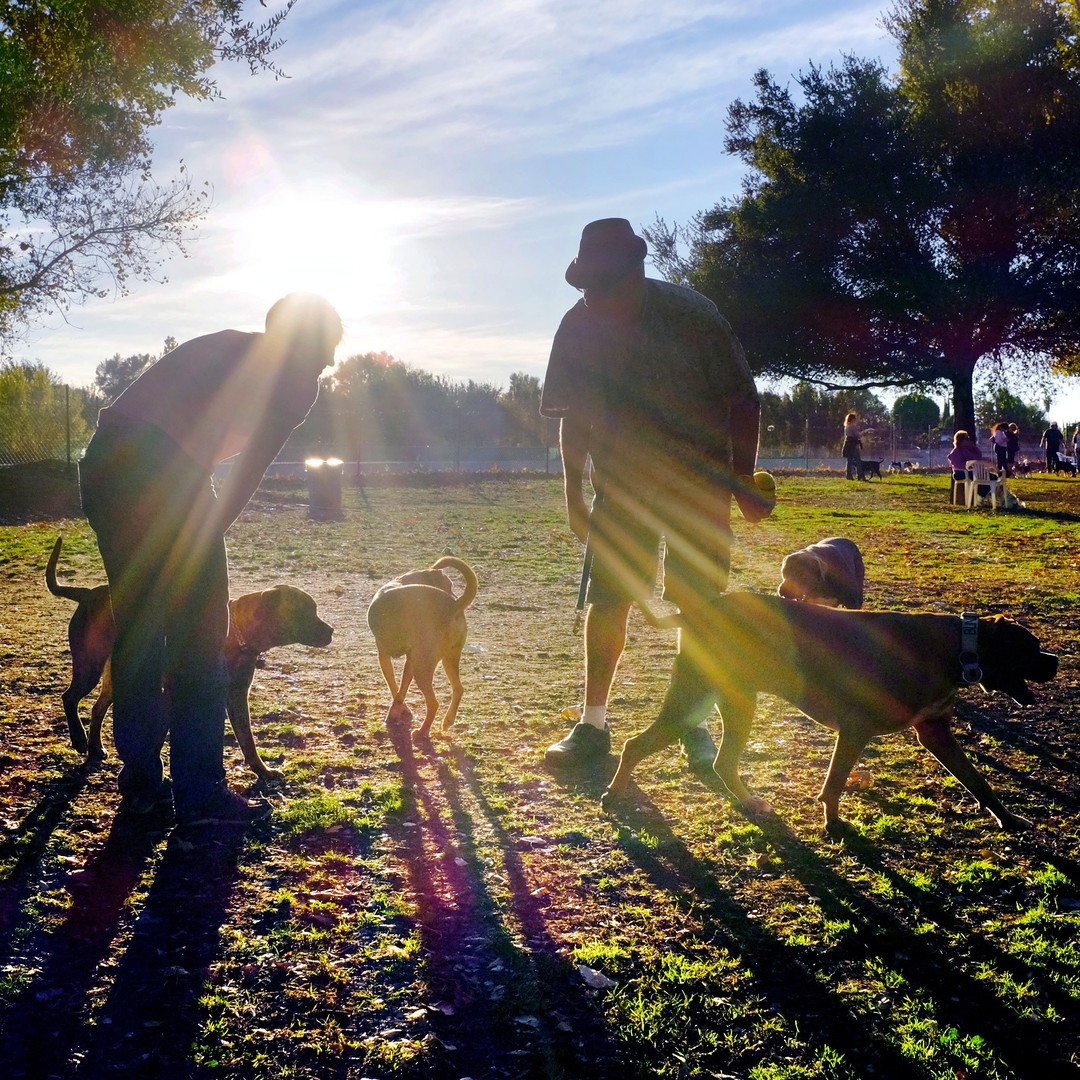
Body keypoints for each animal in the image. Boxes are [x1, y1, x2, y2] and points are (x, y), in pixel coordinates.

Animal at [367, 557, 477, 743]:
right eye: (449, 585)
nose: (453, 594)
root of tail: (453, 605)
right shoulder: (411, 660)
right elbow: (401, 690)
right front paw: (396, 712)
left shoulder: (384, 655)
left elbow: (393, 685)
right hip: (448, 659)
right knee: (458, 688)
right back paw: (447, 721)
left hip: (423, 669)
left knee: (433, 703)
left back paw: (422, 731)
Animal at [604, 591, 1058, 833]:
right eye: (1032, 648)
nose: (1055, 661)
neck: (958, 646)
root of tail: (698, 609)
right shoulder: (855, 730)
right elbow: (836, 782)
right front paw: (833, 823)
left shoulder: (934, 732)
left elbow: (978, 780)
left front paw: (1007, 819)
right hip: (694, 701)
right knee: (636, 745)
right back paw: (613, 793)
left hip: (731, 703)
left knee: (718, 762)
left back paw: (750, 803)